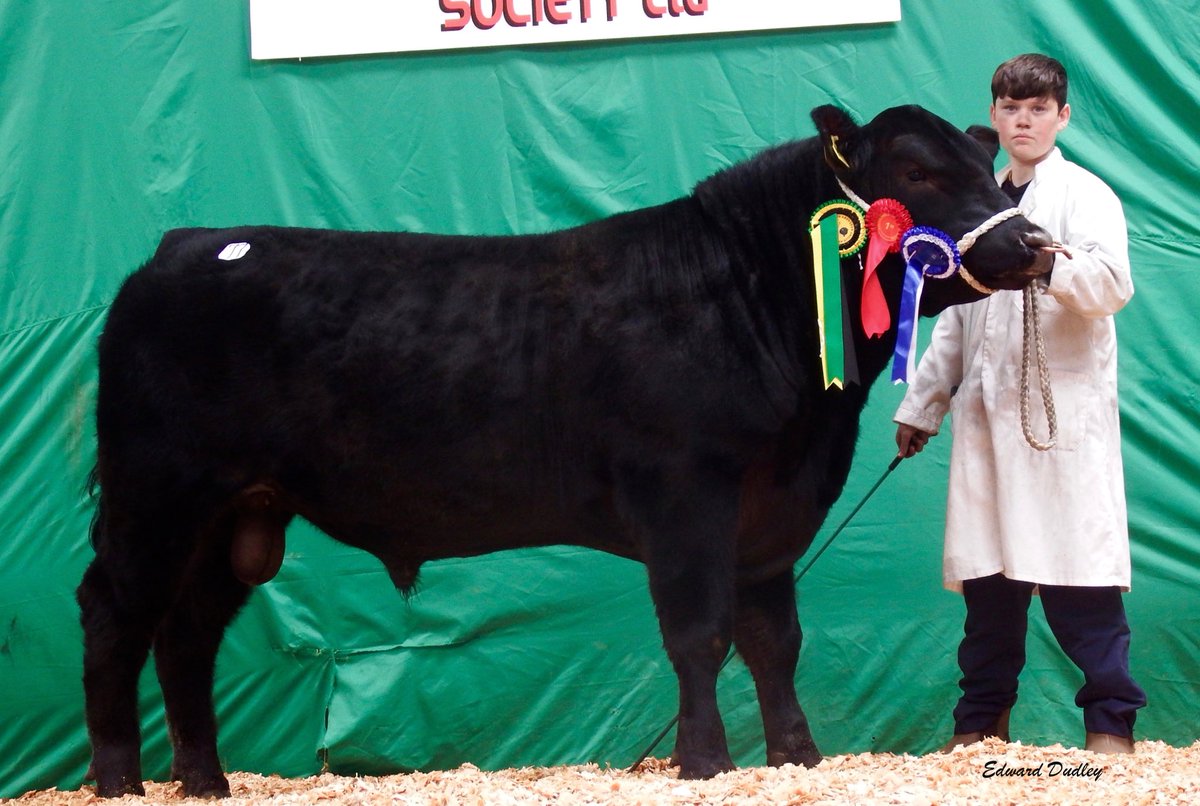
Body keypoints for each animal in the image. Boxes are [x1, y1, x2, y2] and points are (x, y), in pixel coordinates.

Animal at [77, 104, 1053, 798]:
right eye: (916, 171)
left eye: (992, 171)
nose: (1032, 243)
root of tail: (187, 244)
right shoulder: (686, 493)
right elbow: (701, 633)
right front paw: (707, 762)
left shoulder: (773, 509)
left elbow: (777, 639)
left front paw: (797, 759)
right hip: (156, 491)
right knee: (115, 611)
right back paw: (119, 780)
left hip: (237, 511)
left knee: (187, 631)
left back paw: (205, 781)